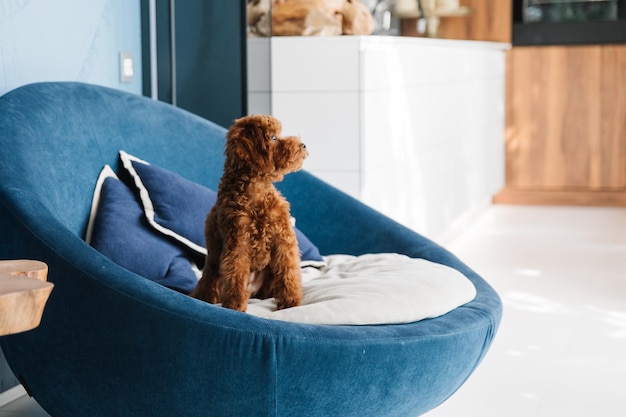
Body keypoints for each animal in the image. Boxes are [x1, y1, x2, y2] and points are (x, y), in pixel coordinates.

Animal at [190, 115, 308, 310]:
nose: (303, 145)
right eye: (273, 138)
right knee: (209, 286)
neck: (257, 192)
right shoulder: (238, 242)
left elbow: (288, 272)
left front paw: (291, 303)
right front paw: (235, 307)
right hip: (214, 269)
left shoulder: (283, 238)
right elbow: (235, 274)